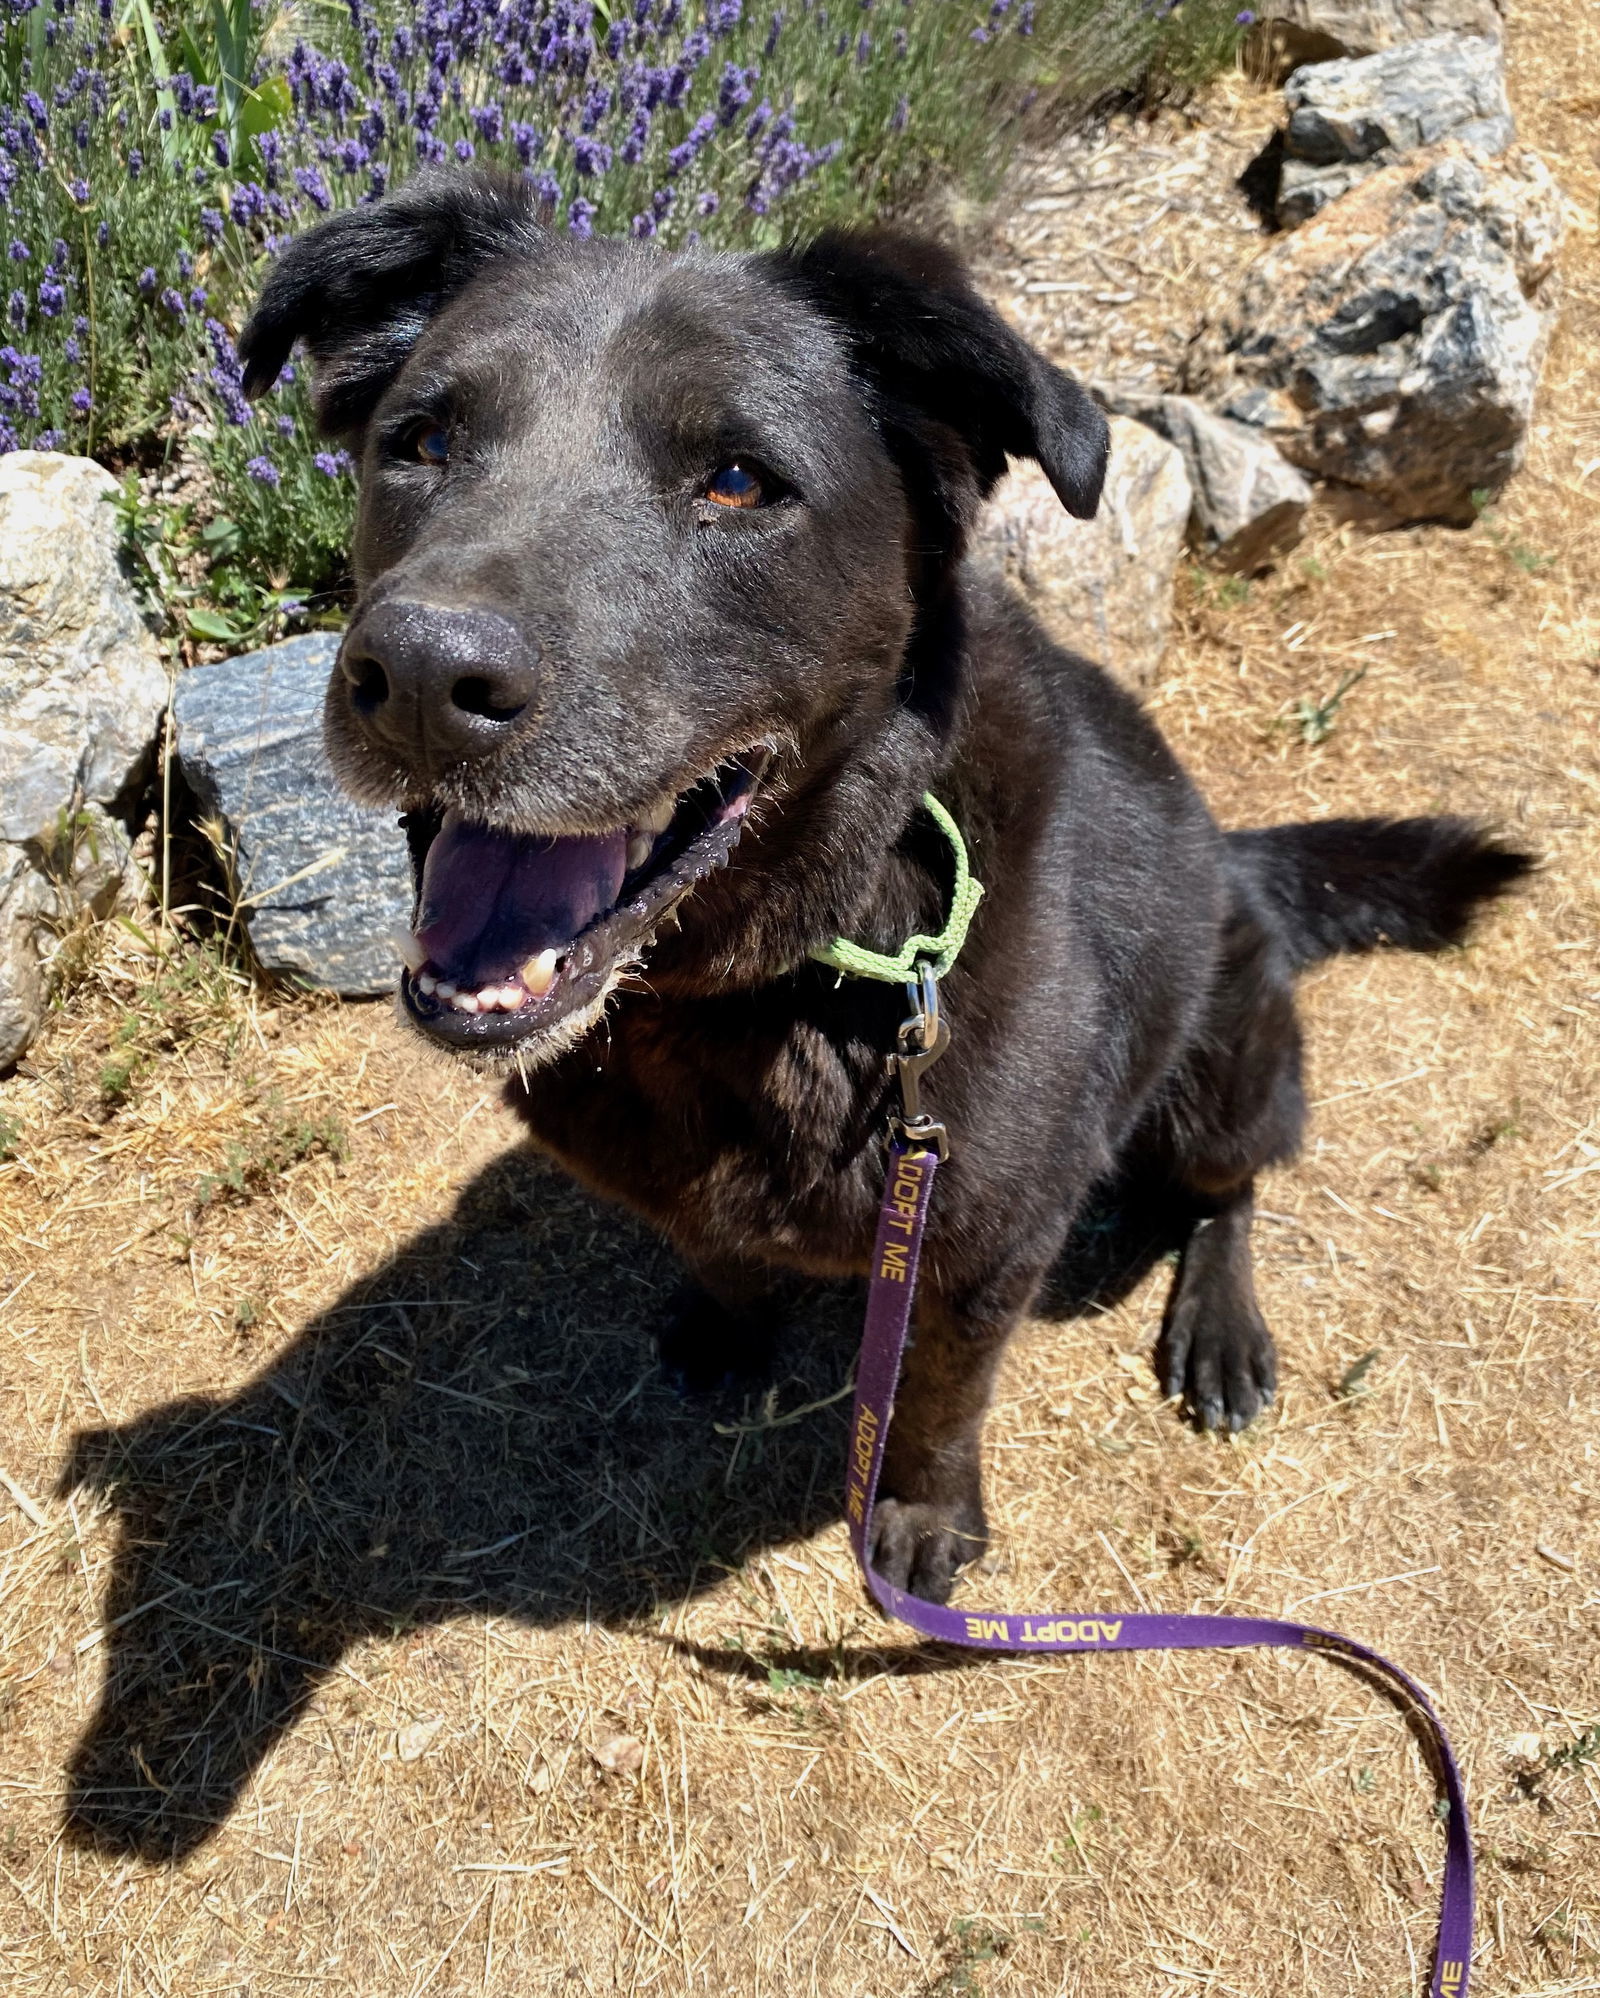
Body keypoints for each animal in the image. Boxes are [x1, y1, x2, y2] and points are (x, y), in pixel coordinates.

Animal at [240, 171, 1534, 1606]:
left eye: (737, 481)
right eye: (420, 440)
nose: (416, 677)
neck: (771, 978)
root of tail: (1237, 854)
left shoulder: (983, 1248)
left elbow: (936, 1398)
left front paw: (919, 1515)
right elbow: (718, 1252)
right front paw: (731, 1324)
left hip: (1220, 1073)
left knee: (1232, 1187)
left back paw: (1219, 1322)